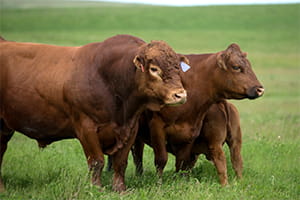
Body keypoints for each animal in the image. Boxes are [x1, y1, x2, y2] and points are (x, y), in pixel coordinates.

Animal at [0, 34, 188, 192]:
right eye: (154, 69)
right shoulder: (86, 128)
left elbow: (120, 162)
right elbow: (97, 161)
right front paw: (96, 188)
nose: (180, 95)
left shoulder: (130, 128)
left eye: (178, 68)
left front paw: (120, 189)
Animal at [128, 43, 262, 184]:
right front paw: (161, 182)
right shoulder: (157, 127)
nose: (260, 89)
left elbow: (181, 162)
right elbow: (162, 159)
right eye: (236, 67)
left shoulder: (190, 133)